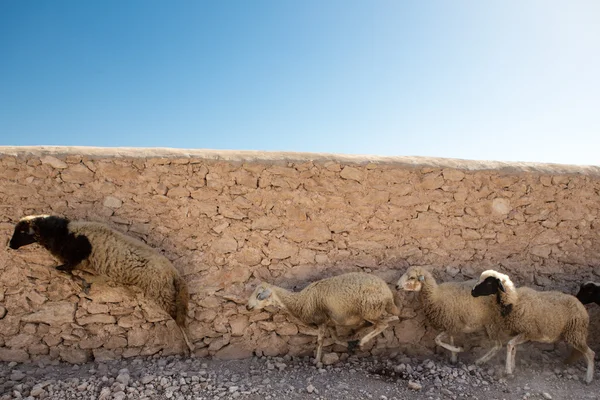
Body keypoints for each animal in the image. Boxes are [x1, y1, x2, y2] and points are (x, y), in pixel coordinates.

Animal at [7, 216, 195, 354]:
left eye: (22, 231)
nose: (10, 245)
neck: (62, 233)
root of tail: (173, 271)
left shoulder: (77, 257)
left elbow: (68, 267)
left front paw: (67, 272)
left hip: (161, 291)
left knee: (178, 318)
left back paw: (189, 345)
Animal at [246, 274, 400, 364]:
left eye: (259, 295)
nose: (247, 306)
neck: (300, 301)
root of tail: (387, 292)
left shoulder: (321, 321)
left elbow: (320, 341)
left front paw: (317, 361)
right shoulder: (330, 323)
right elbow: (336, 338)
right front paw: (345, 343)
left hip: (370, 309)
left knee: (383, 323)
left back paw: (362, 341)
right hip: (371, 311)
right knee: (386, 320)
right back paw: (356, 336)